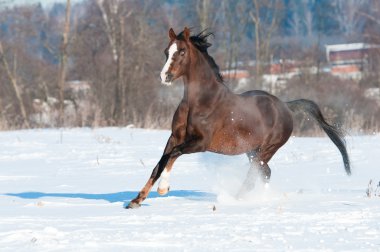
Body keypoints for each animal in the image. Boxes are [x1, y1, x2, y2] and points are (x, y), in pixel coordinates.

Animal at [125, 27, 350, 209]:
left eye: (181, 51)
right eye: (166, 51)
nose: (165, 77)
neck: (200, 102)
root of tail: (285, 106)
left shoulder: (200, 143)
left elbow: (173, 155)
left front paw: (163, 188)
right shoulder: (174, 137)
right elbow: (160, 163)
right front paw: (136, 200)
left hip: (267, 150)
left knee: (254, 175)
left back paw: (236, 199)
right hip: (252, 150)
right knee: (265, 173)